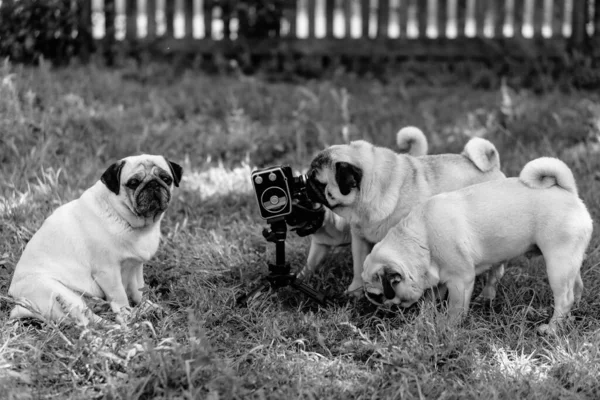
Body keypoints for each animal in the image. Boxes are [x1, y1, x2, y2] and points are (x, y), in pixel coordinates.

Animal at [8, 155, 182, 326]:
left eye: (166, 179)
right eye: (133, 183)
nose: (153, 184)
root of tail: (18, 301)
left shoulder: (136, 267)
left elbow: (140, 291)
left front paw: (148, 307)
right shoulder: (108, 272)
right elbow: (120, 296)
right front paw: (127, 315)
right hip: (61, 294)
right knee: (91, 322)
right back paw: (119, 327)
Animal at [304, 133, 506, 296]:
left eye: (318, 181)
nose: (305, 182)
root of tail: (493, 166)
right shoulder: (359, 239)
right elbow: (358, 266)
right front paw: (355, 291)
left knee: (496, 271)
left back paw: (487, 294)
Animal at [360, 158, 592, 332]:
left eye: (376, 295)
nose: (377, 307)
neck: (419, 239)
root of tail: (568, 191)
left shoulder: (460, 280)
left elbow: (455, 308)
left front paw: (448, 326)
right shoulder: (436, 281)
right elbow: (429, 301)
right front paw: (424, 321)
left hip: (557, 264)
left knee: (564, 298)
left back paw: (552, 328)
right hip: (568, 262)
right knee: (576, 286)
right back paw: (575, 311)